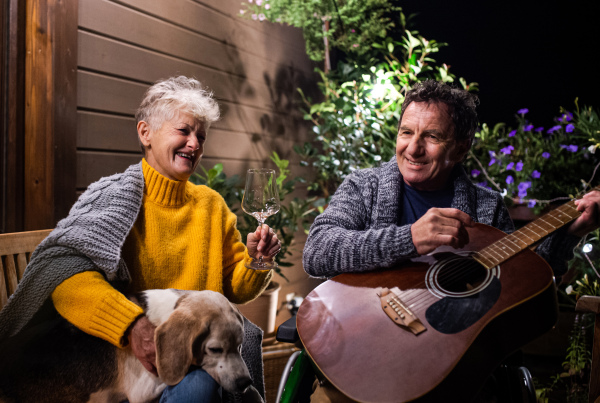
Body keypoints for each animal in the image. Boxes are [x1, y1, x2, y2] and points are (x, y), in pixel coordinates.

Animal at [0, 288, 262, 402]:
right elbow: (194, 367)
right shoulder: (142, 389)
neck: (165, 313)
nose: (245, 382)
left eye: (240, 346)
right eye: (215, 350)